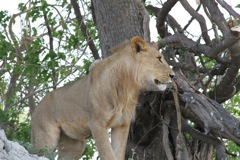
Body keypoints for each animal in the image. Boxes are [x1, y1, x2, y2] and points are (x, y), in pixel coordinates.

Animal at [31, 36, 174, 160]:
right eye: (159, 58)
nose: (172, 75)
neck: (127, 88)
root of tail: (36, 108)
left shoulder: (122, 124)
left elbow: (118, 154)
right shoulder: (97, 124)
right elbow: (107, 154)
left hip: (75, 145)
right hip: (46, 139)